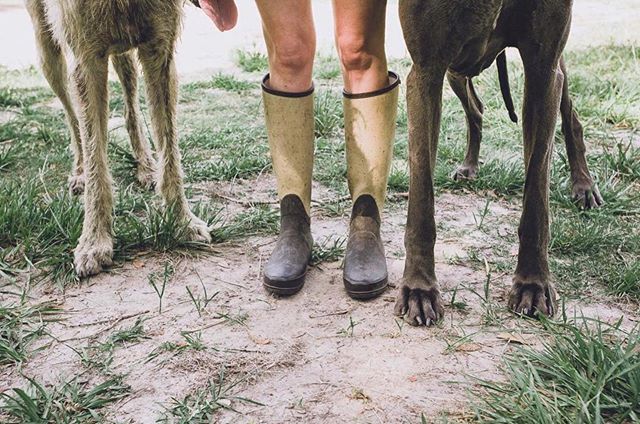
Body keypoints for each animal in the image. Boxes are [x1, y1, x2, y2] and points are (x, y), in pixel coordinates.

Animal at [396, 0, 592, 326]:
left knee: (571, 118)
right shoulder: (427, 70)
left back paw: (584, 186)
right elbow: (422, 197)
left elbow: (536, 196)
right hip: (456, 71)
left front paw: (533, 284)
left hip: (554, 69)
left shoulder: (543, 69)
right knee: (476, 110)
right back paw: (469, 165)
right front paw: (419, 289)